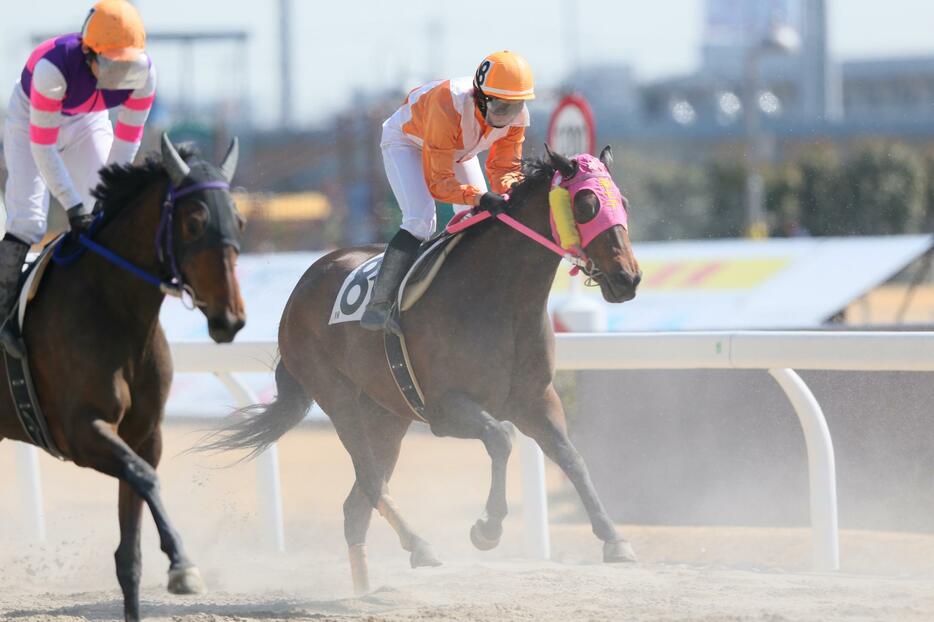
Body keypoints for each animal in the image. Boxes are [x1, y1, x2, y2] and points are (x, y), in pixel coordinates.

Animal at [0, 135, 245, 622]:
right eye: (194, 223)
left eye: (239, 221)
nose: (230, 319)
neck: (117, 311)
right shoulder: (81, 432)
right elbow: (144, 478)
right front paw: (183, 566)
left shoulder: (144, 433)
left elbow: (129, 552)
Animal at [206, 145, 644, 596]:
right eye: (587, 204)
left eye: (624, 203)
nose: (627, 278)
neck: (499, 297)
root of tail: (304, 284)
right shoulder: (444, 409)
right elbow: (501, 438)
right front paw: (487, 528)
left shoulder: (536, 400)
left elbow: (571, 456)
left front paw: (614, 539)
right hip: (338, 396)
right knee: (370, 481)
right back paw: (419, 546)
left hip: (387, 415)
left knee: (355, 505)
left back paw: (366, 587)